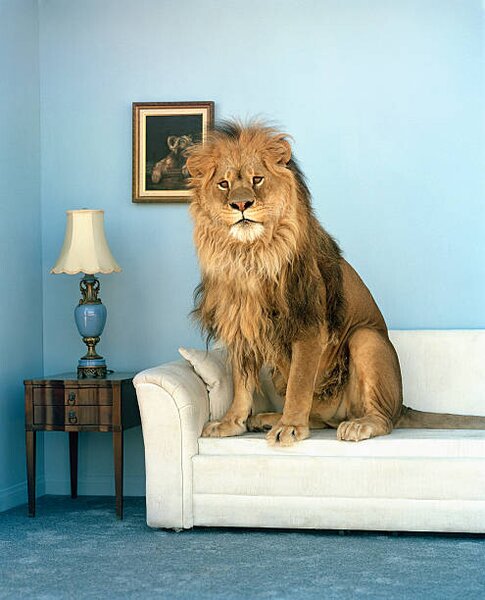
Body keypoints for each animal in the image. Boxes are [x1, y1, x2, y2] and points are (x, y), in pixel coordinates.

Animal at [185, 120, 484, 446]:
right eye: (223, 184)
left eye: (257, 179)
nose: (241, 203)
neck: (250, 255)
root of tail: (403, 405)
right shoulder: (242, 324)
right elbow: (242, 384)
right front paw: (232, 423)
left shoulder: (309, 325)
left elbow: (299, 384)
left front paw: (289, 427)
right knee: (318, 419)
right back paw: (265, 419)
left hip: (365, 339)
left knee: (381, 420)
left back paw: (356, 425)